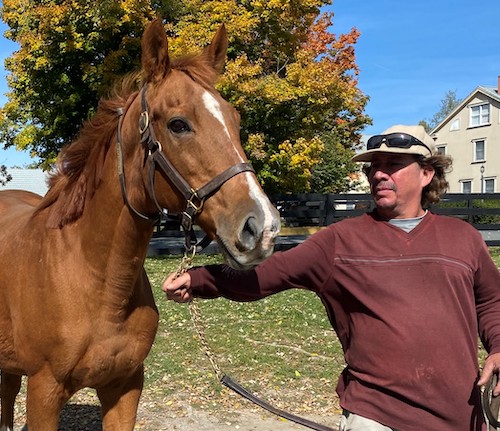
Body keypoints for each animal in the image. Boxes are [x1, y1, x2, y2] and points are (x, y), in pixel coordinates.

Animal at [0, 18, 282, 430]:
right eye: (179, 124)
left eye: (235, 120)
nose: (261, 229)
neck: (95, 281)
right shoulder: (44, 394)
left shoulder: (126, 387)